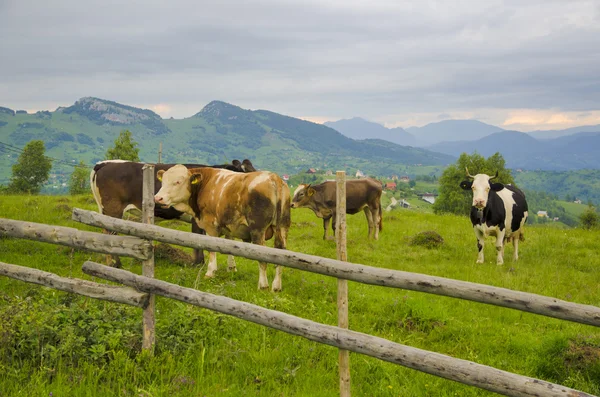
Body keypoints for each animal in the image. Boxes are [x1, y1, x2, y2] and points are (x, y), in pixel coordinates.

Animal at [91, 158, 255, 266]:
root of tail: (104, 163)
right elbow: (198, 238)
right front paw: (198, 263)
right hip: (113, 209)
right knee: (110, 233)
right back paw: (115, 263)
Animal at [152, 164, 288, 290]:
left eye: (178, 181)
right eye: (163, 181)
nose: (158, 198)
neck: (205, 184)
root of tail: (274, 178)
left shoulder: (210, 226)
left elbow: (211, 249)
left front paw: (210, 272)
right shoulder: (229, 226)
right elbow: (229, 245)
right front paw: (231, 268)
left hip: (258, 230)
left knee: (263, 257)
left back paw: (263, 285)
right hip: (282, 228)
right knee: (280, 252)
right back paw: (276, 286)